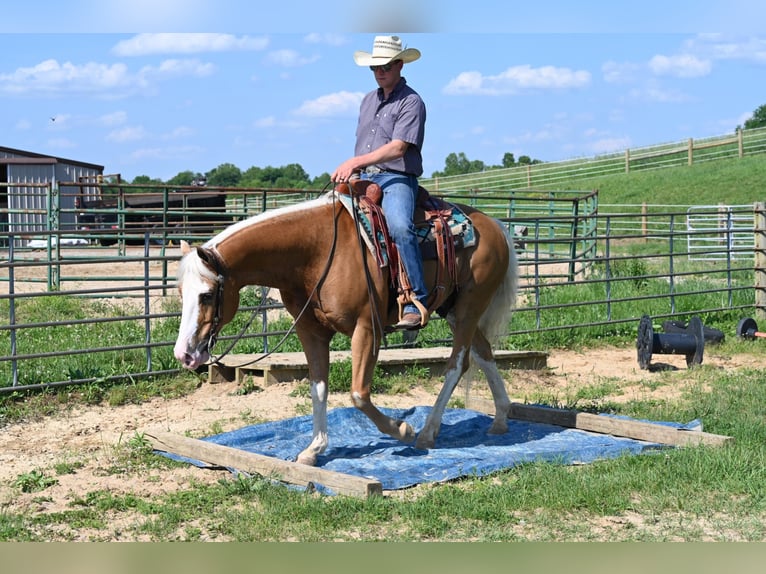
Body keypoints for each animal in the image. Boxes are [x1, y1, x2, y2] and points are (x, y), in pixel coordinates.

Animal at [175, 191, 520, 466]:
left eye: (207, 295)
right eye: (180, 293)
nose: (184, 354)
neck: (315, 252)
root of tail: (495, 225)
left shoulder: (367, 328)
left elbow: (358, 394)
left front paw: (401, 429)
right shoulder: (310, 332)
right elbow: (318, 387)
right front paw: (314, 449)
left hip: (469, 308)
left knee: (457, 364)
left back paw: (427, 432)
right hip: (454, 310)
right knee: (484, 352)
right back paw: (501, 418)